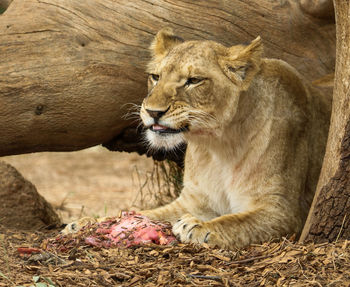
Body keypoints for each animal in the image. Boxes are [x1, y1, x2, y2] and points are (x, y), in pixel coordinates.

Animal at [63, 27, 330, 250]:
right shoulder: (190, 202)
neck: (219, 145)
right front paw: (87, 223)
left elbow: (237, 222)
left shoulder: (283, 210)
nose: (153, 112)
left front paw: (199, 227)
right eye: (155, 77)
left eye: (193, 81)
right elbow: (145, 213)